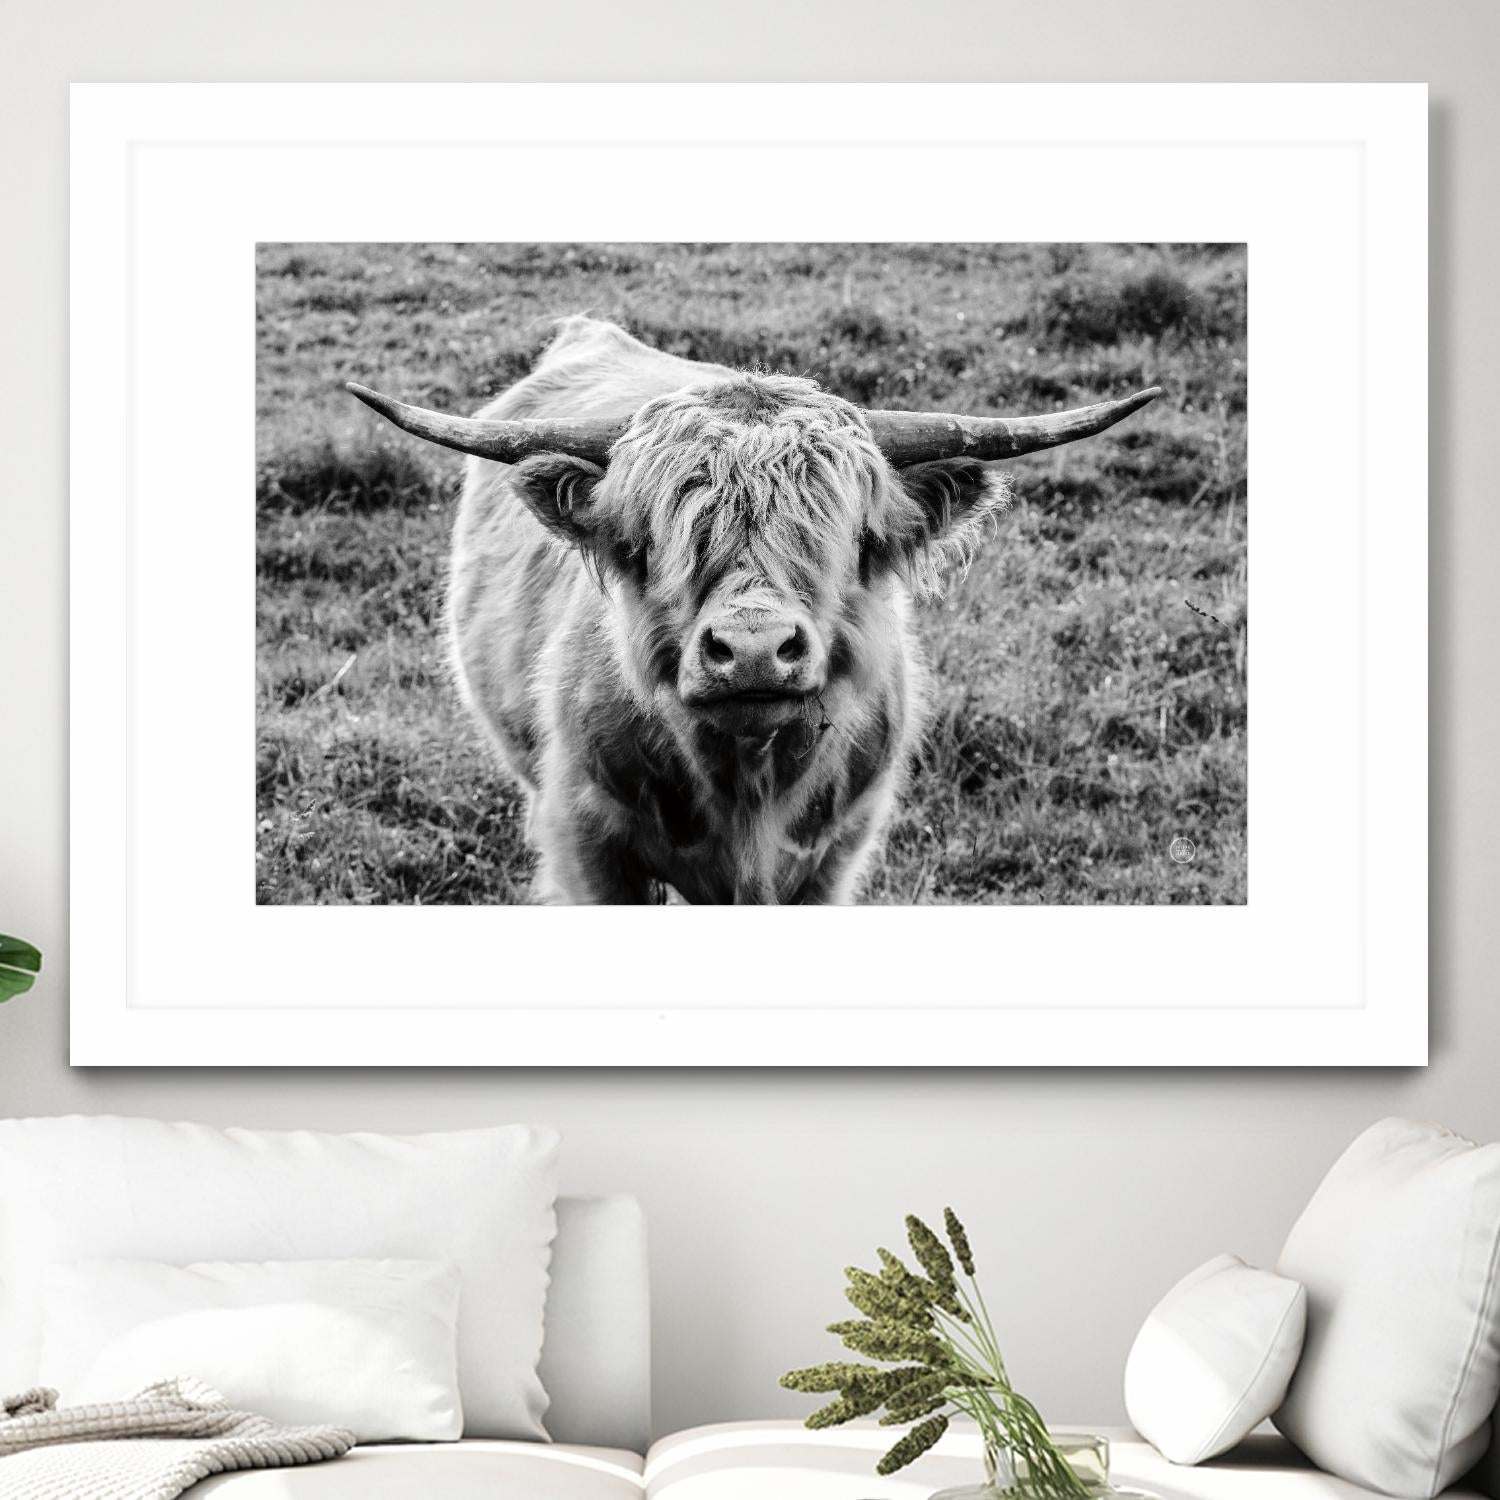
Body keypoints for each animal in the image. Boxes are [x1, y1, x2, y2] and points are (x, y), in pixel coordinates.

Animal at [348, 316, 1158, 904]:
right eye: (657, 537)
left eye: (849, 536)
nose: (754, 650)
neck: (747, 786)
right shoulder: (586, 840)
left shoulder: (836, 854)